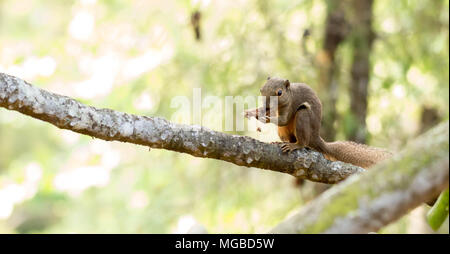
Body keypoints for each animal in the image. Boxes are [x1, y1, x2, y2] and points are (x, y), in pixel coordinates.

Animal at [244, 77, 392, 169]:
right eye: (261, 89)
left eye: (279, 92)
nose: (266, 105)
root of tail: (315, 138)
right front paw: (252, 112)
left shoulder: (291, 105)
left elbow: (283, 119)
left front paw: (263, 117)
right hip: (283, 132)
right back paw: (278, 142)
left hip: (303, 117)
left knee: (303, 142)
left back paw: (295, 145)